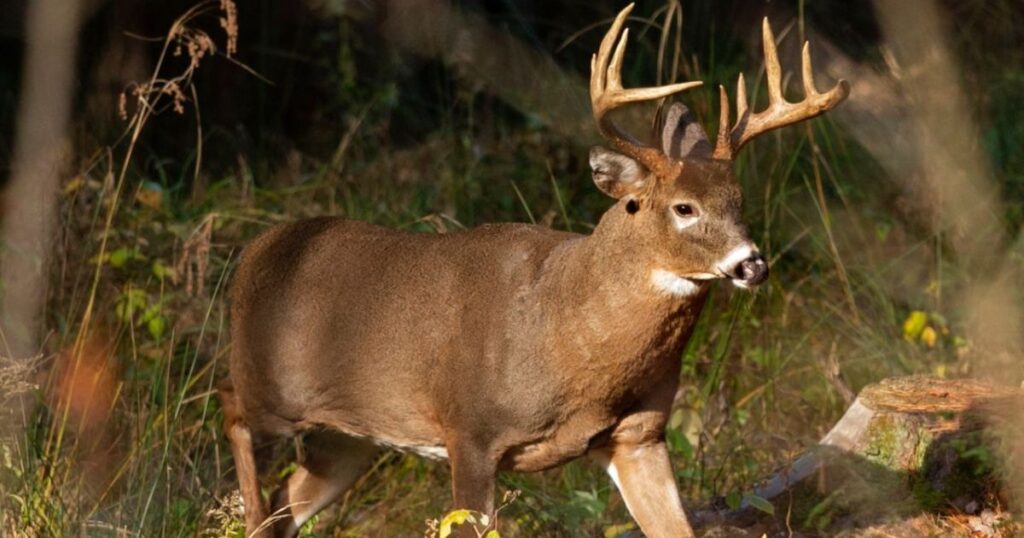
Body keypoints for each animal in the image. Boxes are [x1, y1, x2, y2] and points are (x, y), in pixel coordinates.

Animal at [218, 4, 849, 537]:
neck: (568, 336)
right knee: (233, 413)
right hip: (269, 382)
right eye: (684, 208)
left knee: (288, 504)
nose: (752, 263)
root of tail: (256, 251)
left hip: (350, 437)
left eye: (739, 200)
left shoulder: (639, 435)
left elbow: (676, 528)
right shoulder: (470, 430)